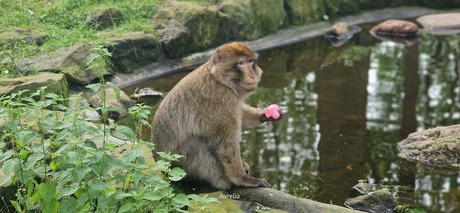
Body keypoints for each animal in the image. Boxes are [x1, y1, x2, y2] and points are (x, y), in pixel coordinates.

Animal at [151, 42, 282, 190]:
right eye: (241, 63)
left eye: (250, 62)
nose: (252, 75)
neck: (221, 80)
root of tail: (160, 166)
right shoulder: (221, 99)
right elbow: (226, 145)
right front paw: (244, 180)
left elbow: (241, 115)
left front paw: (264, 114)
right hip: (179, 165)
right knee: (197, 144)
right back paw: (223, 182)